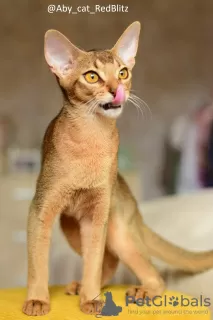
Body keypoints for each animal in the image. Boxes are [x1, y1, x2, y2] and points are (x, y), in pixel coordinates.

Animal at [22, 21, 213, 316]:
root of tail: (133, 202)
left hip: (117, 229)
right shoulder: (41, 210)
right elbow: (37, 262)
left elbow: (93, 261)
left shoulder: (96, 215)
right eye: (91, 77)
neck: (92, 136)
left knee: (151, 273)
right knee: (111, 261)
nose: (116, 89)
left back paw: (141, 291)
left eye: (123, 72)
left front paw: (91, 299)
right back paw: (85, 287)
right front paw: (38, 300)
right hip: (70, 225)